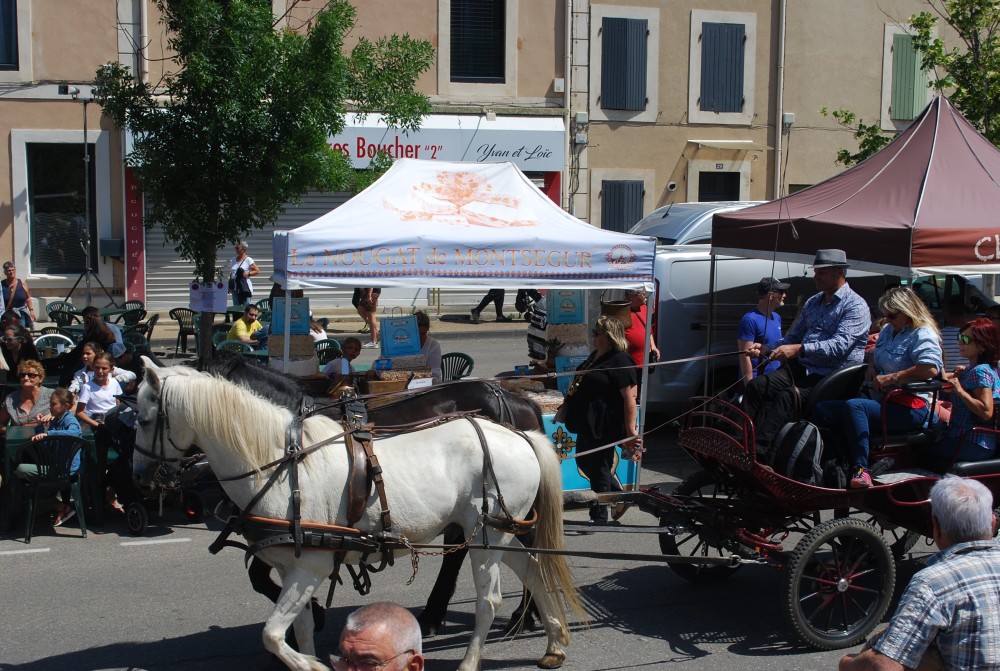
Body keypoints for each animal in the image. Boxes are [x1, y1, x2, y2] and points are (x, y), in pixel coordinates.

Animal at [137, 362, 584, 671]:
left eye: (142, 418)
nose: (140, 475)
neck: (282, 465)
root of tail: (521, 433)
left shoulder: (310, 566)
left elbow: (272, 633)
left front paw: (309, 662)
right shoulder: (290, 567)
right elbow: (296, 627)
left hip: (487, 537)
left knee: (489, 598)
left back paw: (472, 655)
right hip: (500, 534)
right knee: (534, 570)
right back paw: (553, 643)